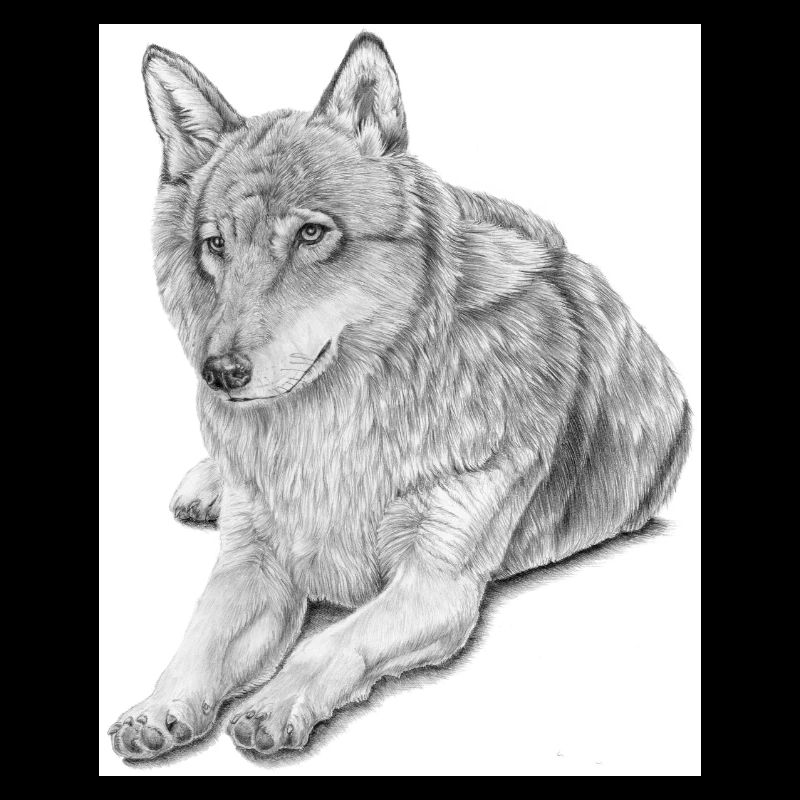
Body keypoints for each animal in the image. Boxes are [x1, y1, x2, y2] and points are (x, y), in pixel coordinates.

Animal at [108, 32, 690, 761]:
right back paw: (205, 485)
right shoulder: (253, 563)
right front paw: (157, 708)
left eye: (312, 234)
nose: (220, 374)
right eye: (215, 244)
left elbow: (332, 641)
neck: (334, 428)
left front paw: (274, 705)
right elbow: (198, 641)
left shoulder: (436, 586)